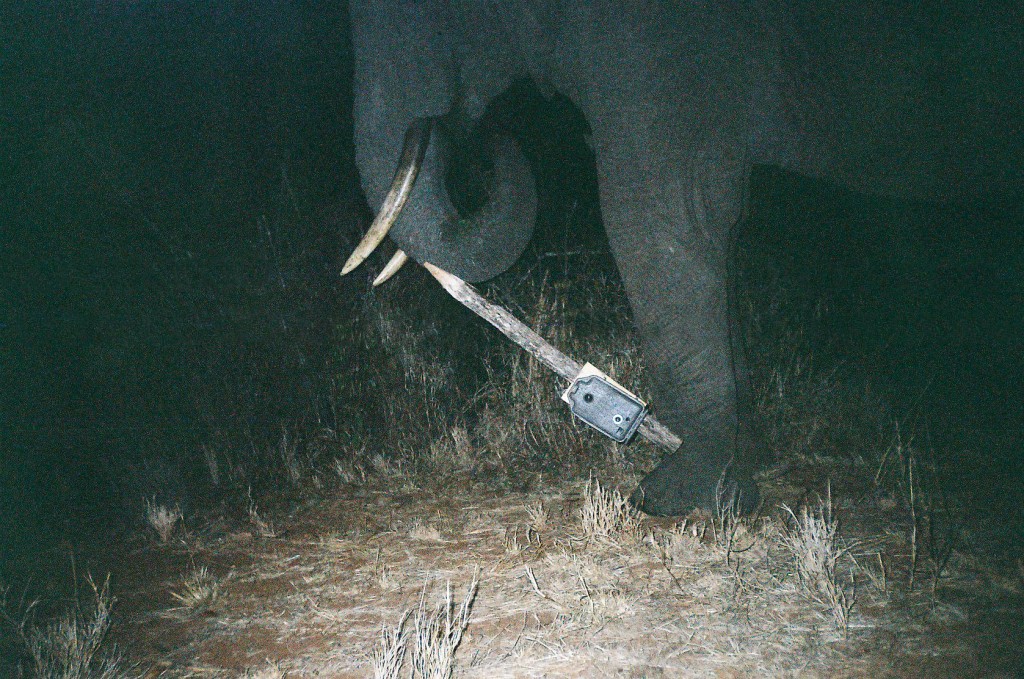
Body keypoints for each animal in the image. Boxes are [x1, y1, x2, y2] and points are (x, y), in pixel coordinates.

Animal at [339, 1, 1019, 516]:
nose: (481, 139)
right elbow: (722, 228)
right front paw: (741, 469)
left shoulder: (658, 52)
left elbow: (652, 213)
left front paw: (677, 493)